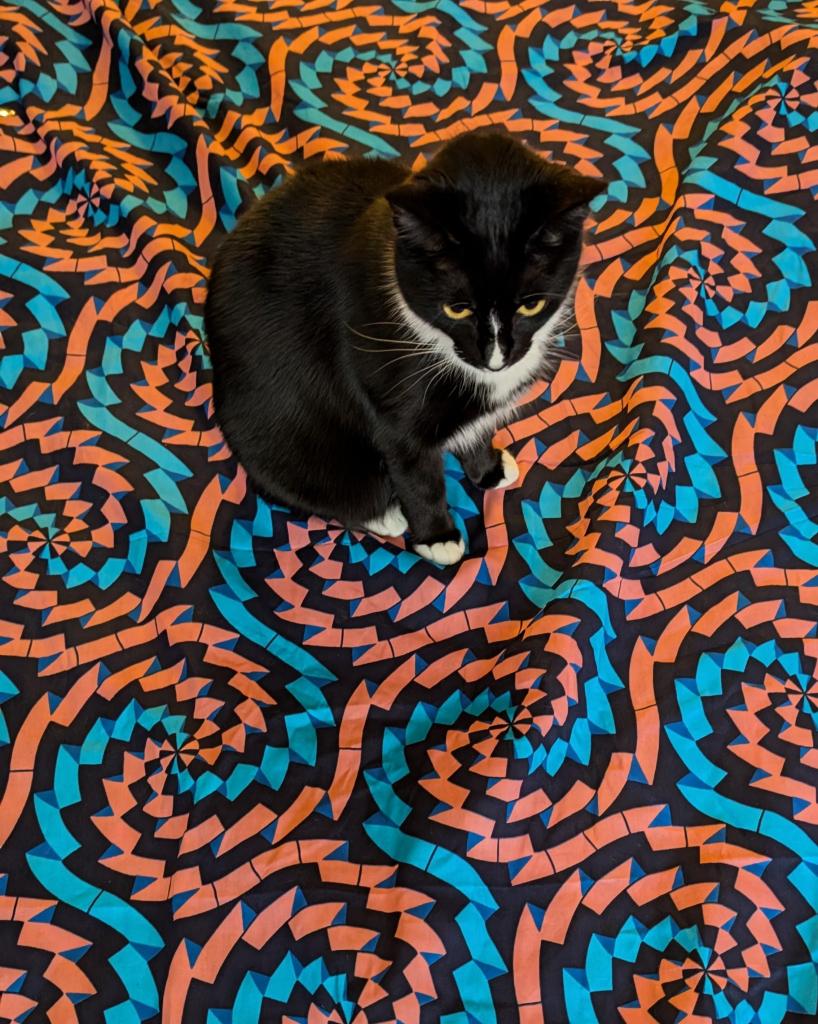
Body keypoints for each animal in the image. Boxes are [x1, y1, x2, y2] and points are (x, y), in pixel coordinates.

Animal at [204, 131, 601, 565]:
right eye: (457, 308)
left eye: (531, 305)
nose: (496, 360)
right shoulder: (386, 390)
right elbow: (416, 471)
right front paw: (437, 537)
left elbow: (477, 428)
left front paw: (488, 469)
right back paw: (382, 514)